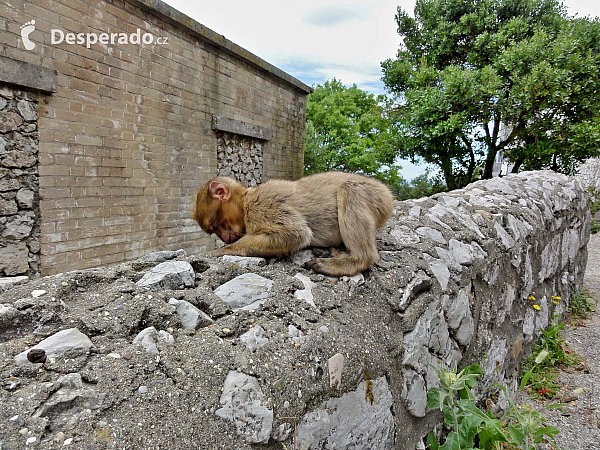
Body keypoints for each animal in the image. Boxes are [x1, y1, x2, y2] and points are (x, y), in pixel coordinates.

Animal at [192, 172, 396, 278]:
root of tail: (385, 191)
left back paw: (355, 260)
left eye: (216, 226)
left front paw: (225, 249)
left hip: (375, 195)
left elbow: (297, 233)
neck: (245, 200)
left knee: (350, 189)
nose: (223, 237)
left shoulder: (260, 207)